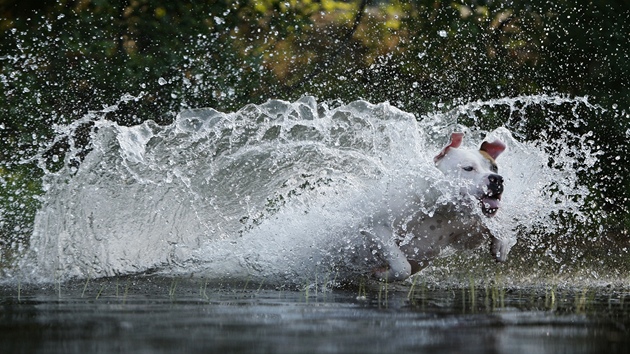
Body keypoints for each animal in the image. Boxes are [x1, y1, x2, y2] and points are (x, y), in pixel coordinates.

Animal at [362, 131, 512, 280]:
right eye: (468, 168)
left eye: (495, 167)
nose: (497, 179)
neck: (440, 207)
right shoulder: (375, 228)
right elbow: (402, 267)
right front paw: (381, 274)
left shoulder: (468, 233)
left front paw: (501, 245)